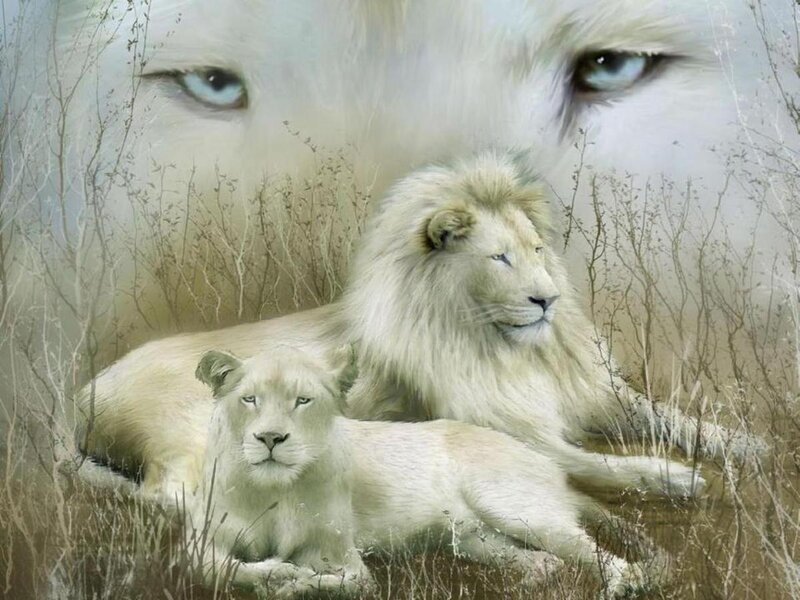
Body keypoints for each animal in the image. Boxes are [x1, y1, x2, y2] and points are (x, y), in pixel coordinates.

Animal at [189, 344, 657, 599]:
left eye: (303, 401)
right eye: (250, 399)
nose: (270, 438)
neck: (275, 490)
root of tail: (545, 461)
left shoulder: (344, 558)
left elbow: (346, 582)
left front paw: (293, 582)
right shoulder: (201, 544)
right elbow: (214, 568)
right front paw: (277, 574)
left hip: (518, 510)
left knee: (605, 556)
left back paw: (622, 587)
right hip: (475, 540)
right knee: (545, 562)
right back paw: (523, 585)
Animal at [343, 152, 766, 468]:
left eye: (537, 250)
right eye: (500, 258)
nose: (548, 300)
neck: (510, 354)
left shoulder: (593, 393)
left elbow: (666, 414)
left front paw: (746, 443)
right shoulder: (510, 426)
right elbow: (592, 464)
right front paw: (672, 477)